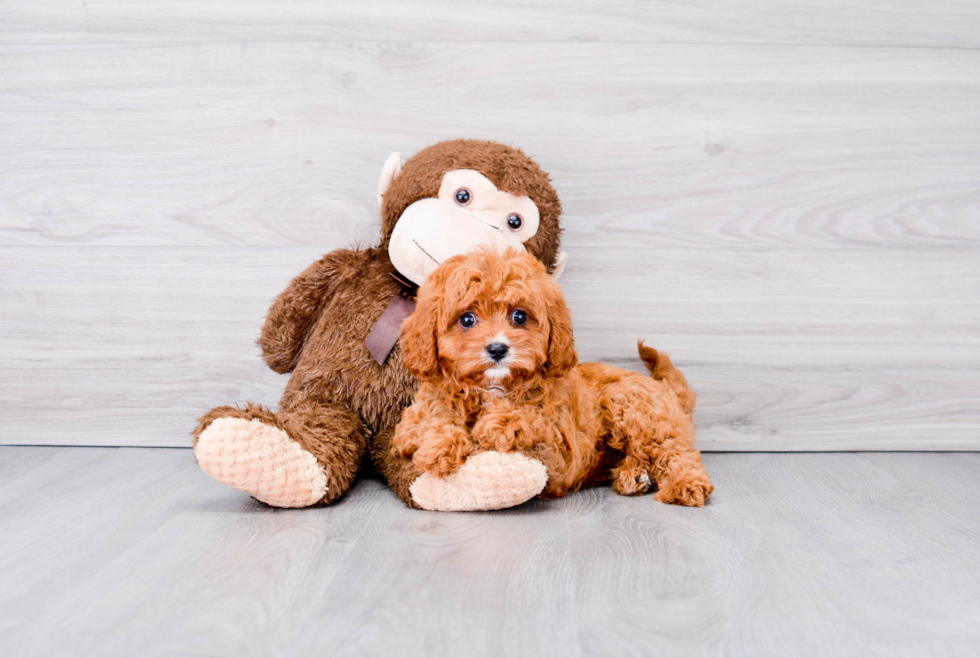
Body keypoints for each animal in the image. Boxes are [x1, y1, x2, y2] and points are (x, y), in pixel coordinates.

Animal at [390, 249, 712, 504]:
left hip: (630, 403)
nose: (497, 348)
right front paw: (440, 445)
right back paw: (634, 475)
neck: (493, 388)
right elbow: (428, 420)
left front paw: (502, 422)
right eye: (467, 319)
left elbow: (535, 420)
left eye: (519, 316)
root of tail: (663, 387)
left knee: (675, 450)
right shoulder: (413, 419)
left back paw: (685, 484)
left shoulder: (560, 452)